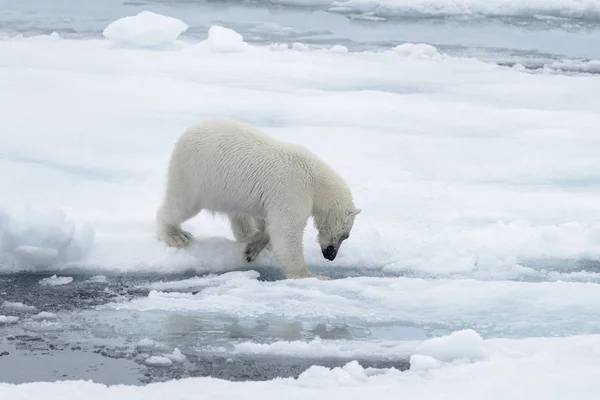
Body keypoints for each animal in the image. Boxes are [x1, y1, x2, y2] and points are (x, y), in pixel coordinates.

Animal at [156, 117, 360, 280]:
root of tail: (187, 133)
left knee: (238, 214)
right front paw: (311, 275)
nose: (330, 255)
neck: (316, 181)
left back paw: (248, 234)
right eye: (346, 235)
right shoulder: (293, 190)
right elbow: (285, 230)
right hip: (195, 176)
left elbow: (268, 224)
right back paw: (176, 235)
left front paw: (252, 249)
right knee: (181, 204)